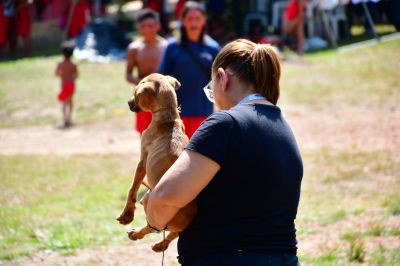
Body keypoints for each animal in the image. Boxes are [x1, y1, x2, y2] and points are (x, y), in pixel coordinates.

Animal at [115, 73, 197, 251]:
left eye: (136, 93)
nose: (128, 103)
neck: (168, 117)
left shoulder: (142, 162)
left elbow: (132, 189)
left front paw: (127, 214)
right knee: (172, 233)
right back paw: (160, 245)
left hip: (149, 197)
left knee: (153, 226)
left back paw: (136, 233)